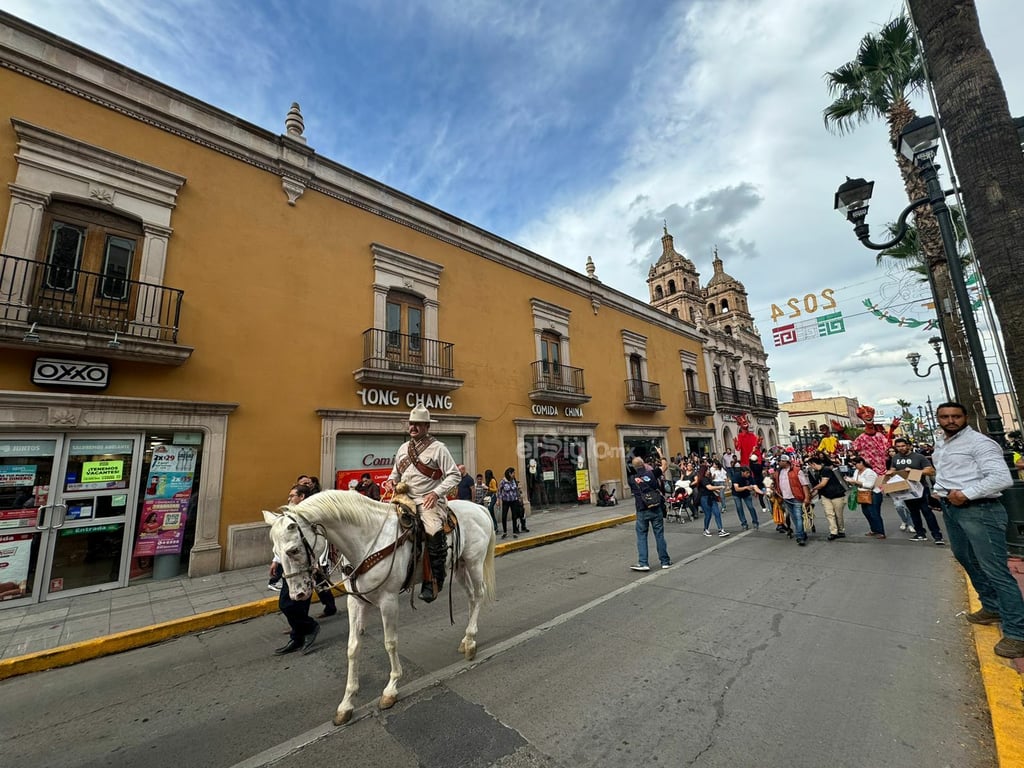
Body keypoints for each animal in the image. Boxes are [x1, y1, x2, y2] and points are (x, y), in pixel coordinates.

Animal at [264, 489, 495, 724]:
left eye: (293, 550)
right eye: (276, 551)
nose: (297, 594)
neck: (366, 542)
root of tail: (480, 507)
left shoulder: (388, 600)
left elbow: (390, 643)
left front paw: (390, 690)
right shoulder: (355, 602)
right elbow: (353, 648)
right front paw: (346, 703)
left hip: (474, 562)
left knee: (478, 595)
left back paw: (471, 641)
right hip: (460, 565)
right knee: (470, 597)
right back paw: (466, 640)